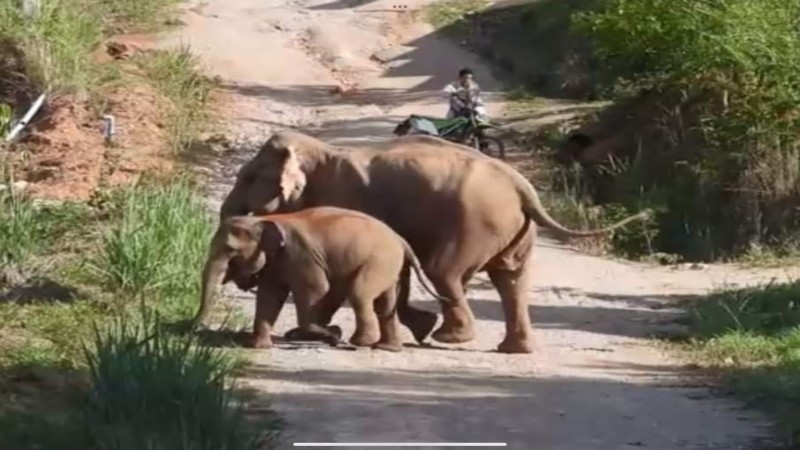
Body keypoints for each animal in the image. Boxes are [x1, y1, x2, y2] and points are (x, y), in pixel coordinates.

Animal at [195, 207, 450, 352]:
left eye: (230, 250)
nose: (194, 327)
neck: (265, 219)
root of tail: (400, 240)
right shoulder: (276, 262)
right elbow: (270, 296)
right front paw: (258, 347)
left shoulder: (301, 256)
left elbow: (316, 290)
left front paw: (333, 335)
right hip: (389, 266)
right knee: (384, 304)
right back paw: (387, 348)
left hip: (379, 261)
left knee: (360, 294)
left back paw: (360, 343)